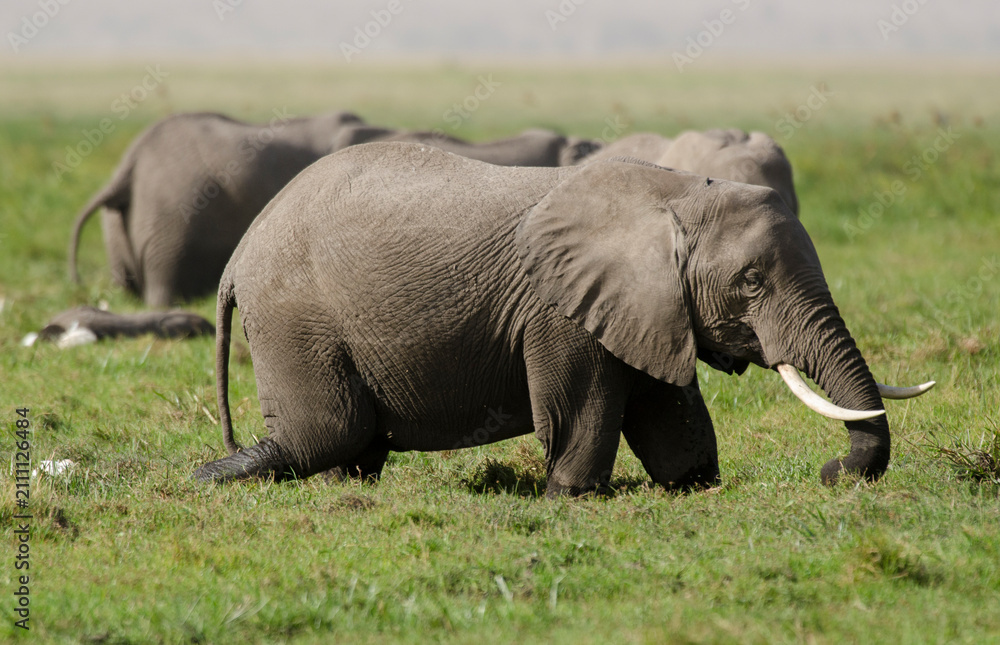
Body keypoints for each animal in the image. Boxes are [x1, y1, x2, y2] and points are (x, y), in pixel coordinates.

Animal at [193, 142, 932, 496]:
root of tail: (237, 259)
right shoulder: (561, 310)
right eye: (750, 282)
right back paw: (210, 477)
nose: (832, 472)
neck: (675, 193)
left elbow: (670, 415)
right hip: (295, 318)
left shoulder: (646, 304)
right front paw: (570, 497)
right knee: (326, 433)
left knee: (349, 446)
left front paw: (693, 486)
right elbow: (584, 407)